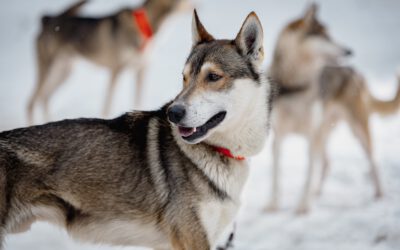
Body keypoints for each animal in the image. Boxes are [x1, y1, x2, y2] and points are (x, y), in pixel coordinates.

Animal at [27, 0, 191, 124]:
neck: (144, 25)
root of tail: (47, 20)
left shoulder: (141, 69)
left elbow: (138, 99)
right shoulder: (116, 71)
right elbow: (108, 105)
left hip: (64, 72)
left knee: (44, 98)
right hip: (48, 69)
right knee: (32, 102)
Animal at [266, 3, 400, 215]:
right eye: (325, 36)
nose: (349, 51)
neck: (295, 86)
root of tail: (356, 72)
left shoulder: (310, 136)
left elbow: (308, 174)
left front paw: (303, 206)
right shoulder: (278, 138)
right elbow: (276, 177)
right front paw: (273, 205)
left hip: (357, 129)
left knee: (373, 160)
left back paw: (379, 194)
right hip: (325, 131)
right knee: (327, 164)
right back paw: (317, 192)